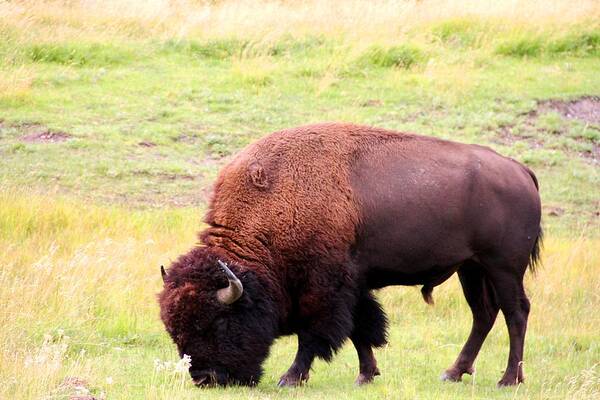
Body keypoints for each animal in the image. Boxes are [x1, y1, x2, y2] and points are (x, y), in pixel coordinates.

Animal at [157, 122, 540, 388]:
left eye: (218, 322)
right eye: (174, 329)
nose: (206, 378)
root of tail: (520, 171)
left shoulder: (324, 287)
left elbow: (316, 333)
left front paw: (290, 378)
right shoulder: (353, 286)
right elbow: (361, 329)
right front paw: (366, 375)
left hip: (503, 267)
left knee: (515, 312)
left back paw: (508, 379)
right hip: (471, 269)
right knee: (484, 314)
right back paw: (453, 373)